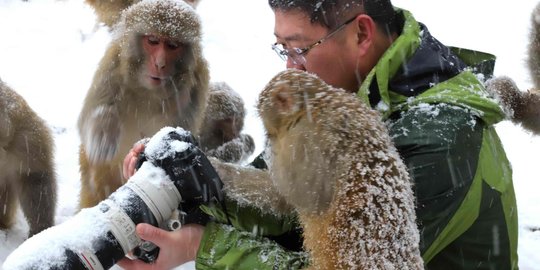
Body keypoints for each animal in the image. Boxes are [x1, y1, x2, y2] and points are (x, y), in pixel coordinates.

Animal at [78, 0, 209, 209]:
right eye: (153, 41)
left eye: (172, 46)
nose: (160, 63)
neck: (150, 91)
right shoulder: (112, 65)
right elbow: (87, 120)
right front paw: (104, 135)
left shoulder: (197, 79)